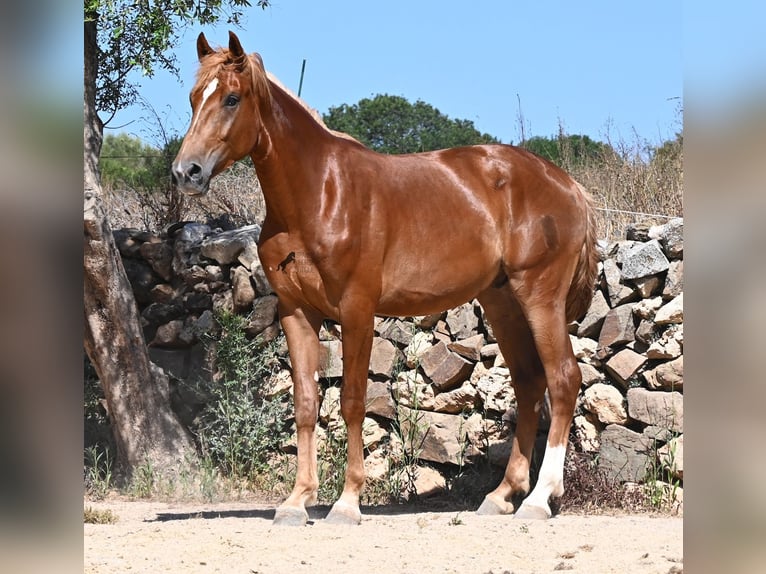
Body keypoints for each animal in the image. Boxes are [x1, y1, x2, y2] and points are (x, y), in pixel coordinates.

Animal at [172, 31, 598, 526]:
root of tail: (567, 185)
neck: (319, 193)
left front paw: (347, 501)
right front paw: (297, 501)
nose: (186, 172)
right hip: (503, 303)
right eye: (193, 99)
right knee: (529, 383)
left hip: (540, 297)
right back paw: (502, 494)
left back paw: (538, 498)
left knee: (563, 379)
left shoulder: (357, 309)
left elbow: (352, 401)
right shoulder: (297, 313)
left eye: (231, 98)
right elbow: (305, 404)